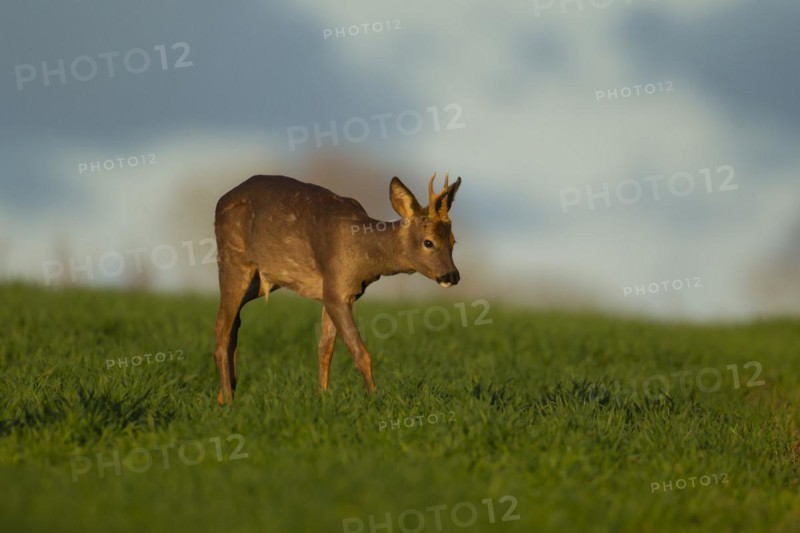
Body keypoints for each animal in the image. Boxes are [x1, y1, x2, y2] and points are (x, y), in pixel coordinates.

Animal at [212, 172, 462, 405]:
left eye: (453, 241)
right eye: (428, 242)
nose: (452, 275)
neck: (363, 250)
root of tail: (220, 201)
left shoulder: (335, 293)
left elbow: (325, 349)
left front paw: (321, 397)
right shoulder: (335, 290)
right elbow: (360, 352)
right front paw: (374, 399)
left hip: (261, 281)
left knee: (232, 323)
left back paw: (223, 396)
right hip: (234, 260)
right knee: (222, 328)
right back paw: (229, 401)